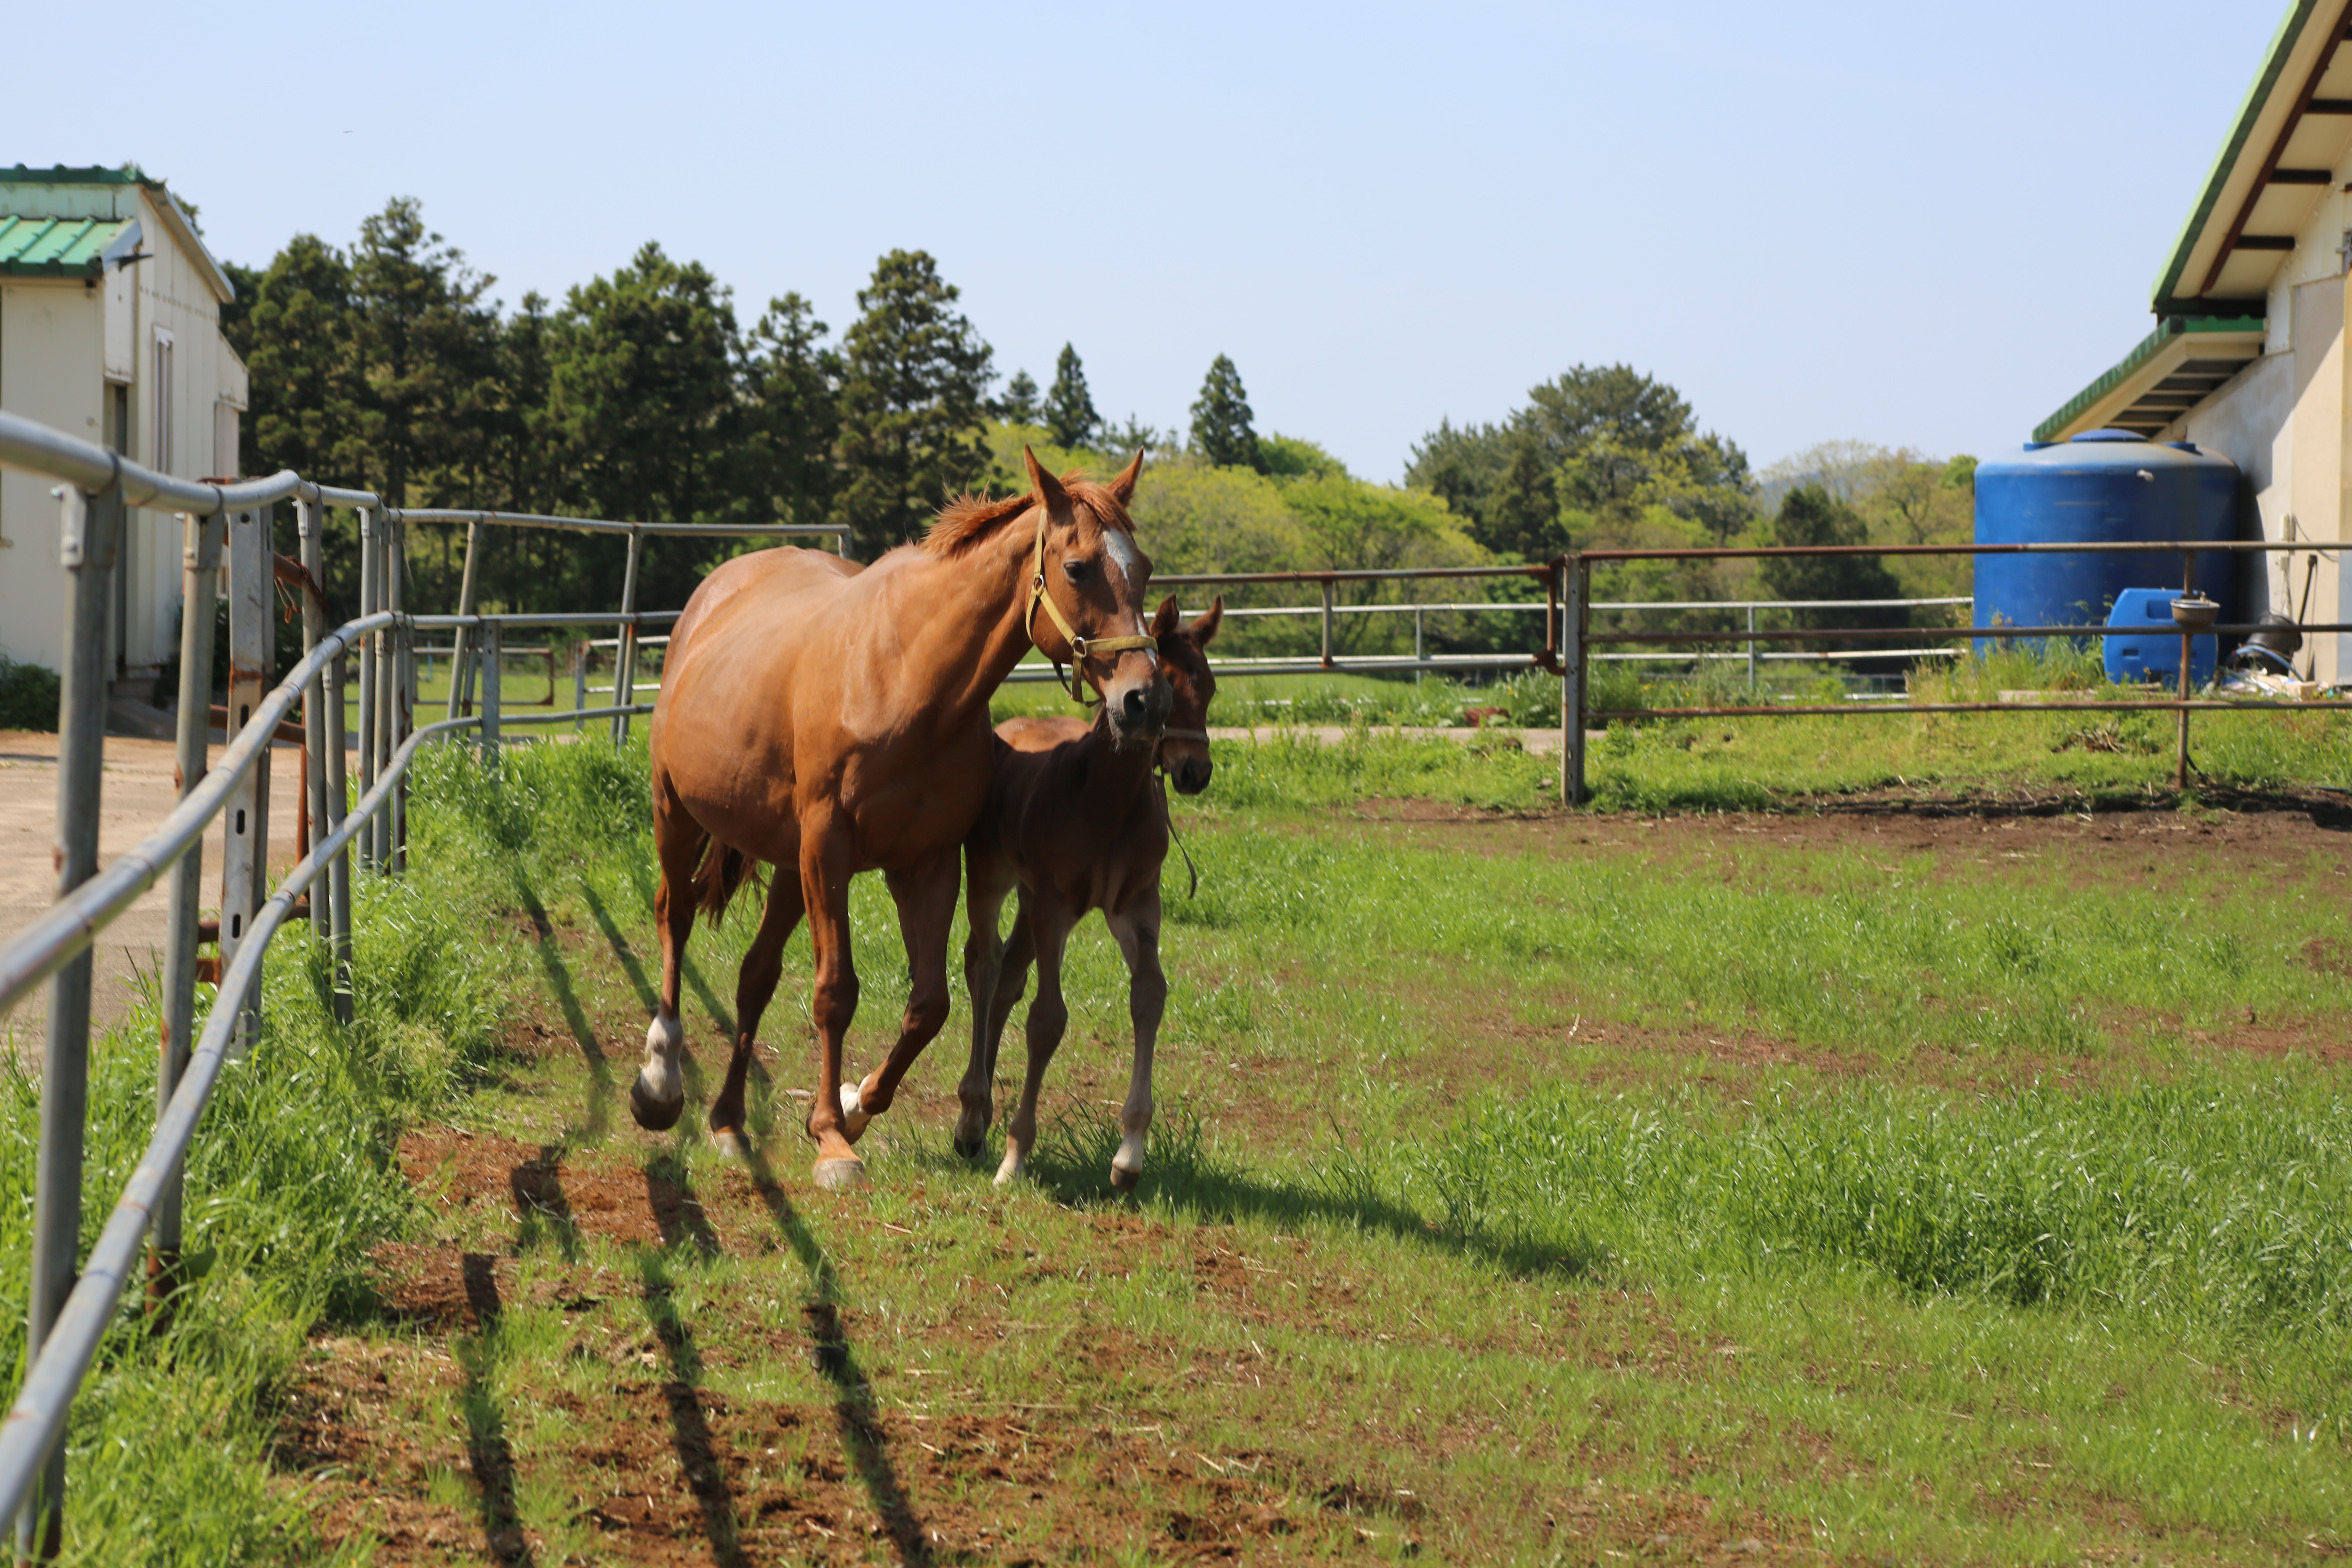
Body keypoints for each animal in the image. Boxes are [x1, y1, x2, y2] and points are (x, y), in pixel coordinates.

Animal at [639, 446, 1171, 1185]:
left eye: (1144, 568)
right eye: (1078, 568)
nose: (1144, 700)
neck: (906, 678)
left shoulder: (927, 863)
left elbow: (929, 1007)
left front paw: (855, 1104)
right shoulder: (830, 849)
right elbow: (835, 992)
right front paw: (832, 1141)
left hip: (789, 866)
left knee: (755, 977)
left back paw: (727, 1122)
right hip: (679, 814)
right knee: (676, 915)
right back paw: (660, 1083)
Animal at [950, 595, 1223, 1185]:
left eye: (1211, 688)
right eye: (1168, 687)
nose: (1195, 772)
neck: (1107, 800)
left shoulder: (1137, 906)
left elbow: (1149, 996)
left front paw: (1130, 1153)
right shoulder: (1056, 906)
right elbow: (1047, 1020)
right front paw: (1016, 1155)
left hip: (1029, 899)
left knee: (1007, 978)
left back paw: (981, 1117)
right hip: (992, 877)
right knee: (984, 967)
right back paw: (971, 1119)